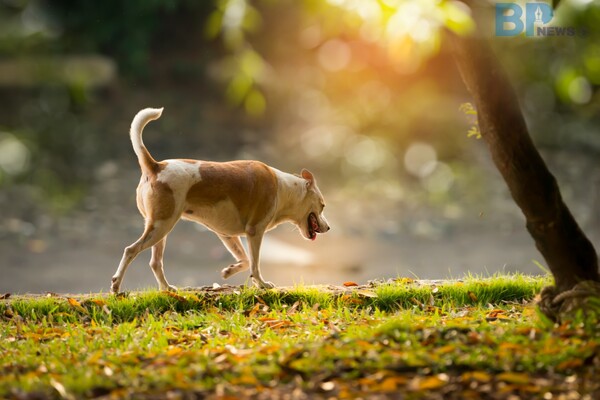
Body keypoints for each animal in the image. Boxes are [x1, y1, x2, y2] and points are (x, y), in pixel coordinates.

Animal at [110, 108, 330, 292]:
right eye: (322, 205)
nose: (328, 228)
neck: (284, 188)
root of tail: (155, 166)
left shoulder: (227, 235)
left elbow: (245, 260)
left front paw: (229, 271)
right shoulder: (255, 232)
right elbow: (255, 264)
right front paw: (262, 284)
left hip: (160, 230)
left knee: (155, 263)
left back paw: (167, 288)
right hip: (161, 226)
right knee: (130, 250)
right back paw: (116, 285)